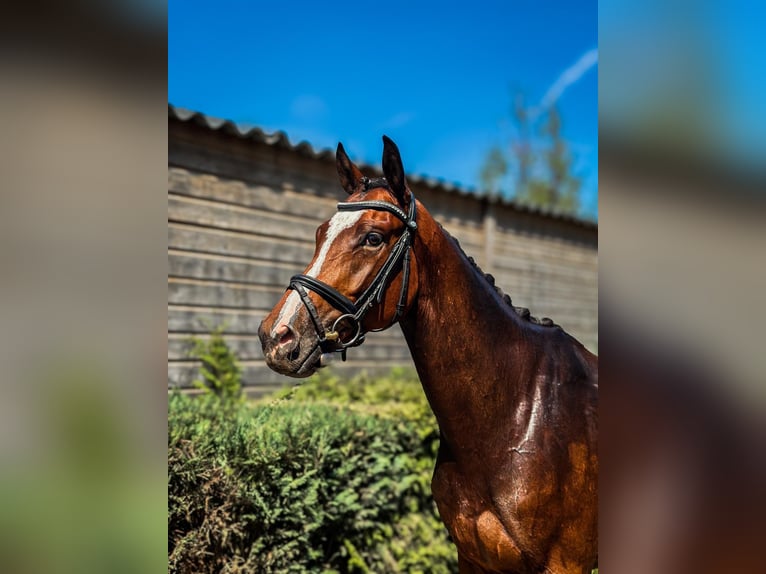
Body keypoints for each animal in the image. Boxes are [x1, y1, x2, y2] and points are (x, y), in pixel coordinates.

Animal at [258, 136, 598, 573]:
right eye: (320, 234)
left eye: (373, 238)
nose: (277, 336)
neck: (514, 415)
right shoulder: (472, 558)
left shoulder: (564, 564)